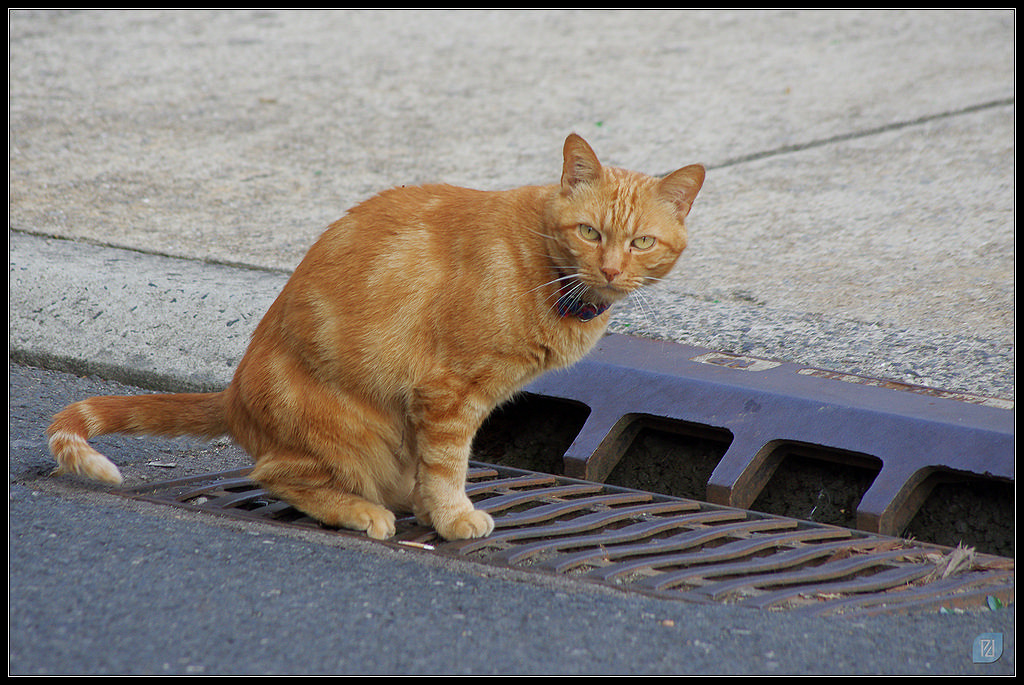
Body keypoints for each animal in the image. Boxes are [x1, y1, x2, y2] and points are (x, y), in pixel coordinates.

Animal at [46, 133, 704, 540]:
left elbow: (438, 467)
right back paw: (363, 511)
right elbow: (448, 464)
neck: (546, 269)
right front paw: (454, 515)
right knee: (276, 475)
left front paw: (436, 509)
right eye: (590, 232)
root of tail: (232, 396)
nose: (612, 269)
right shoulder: (448, 393)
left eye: (642, 242)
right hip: (352, 432)